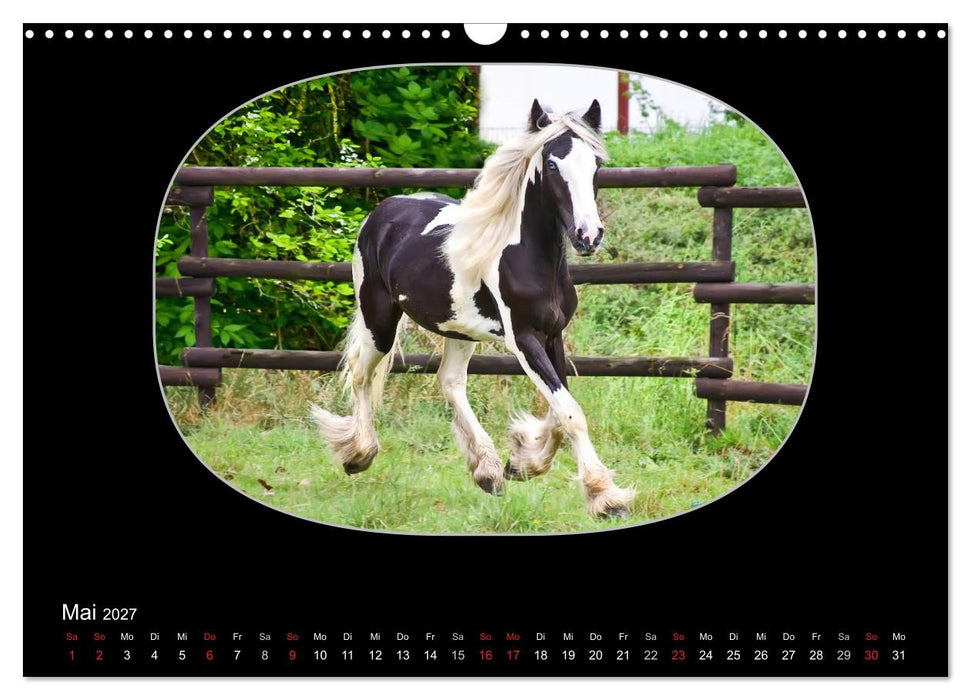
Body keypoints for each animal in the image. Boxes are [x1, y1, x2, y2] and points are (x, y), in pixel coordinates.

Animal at [311, 99, 635, 518]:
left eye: (596, 164)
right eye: (551, 165)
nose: (588, 236)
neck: (528, 258)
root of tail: (382, 210)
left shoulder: (553, 335)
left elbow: (557, 410)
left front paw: (523, 462)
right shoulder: (523, 339)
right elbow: (569, 412)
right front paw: (604, 496)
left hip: (458, 329)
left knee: (450, 382)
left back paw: (488, 471)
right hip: (378, 320)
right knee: (360, 373)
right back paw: (358, 455)